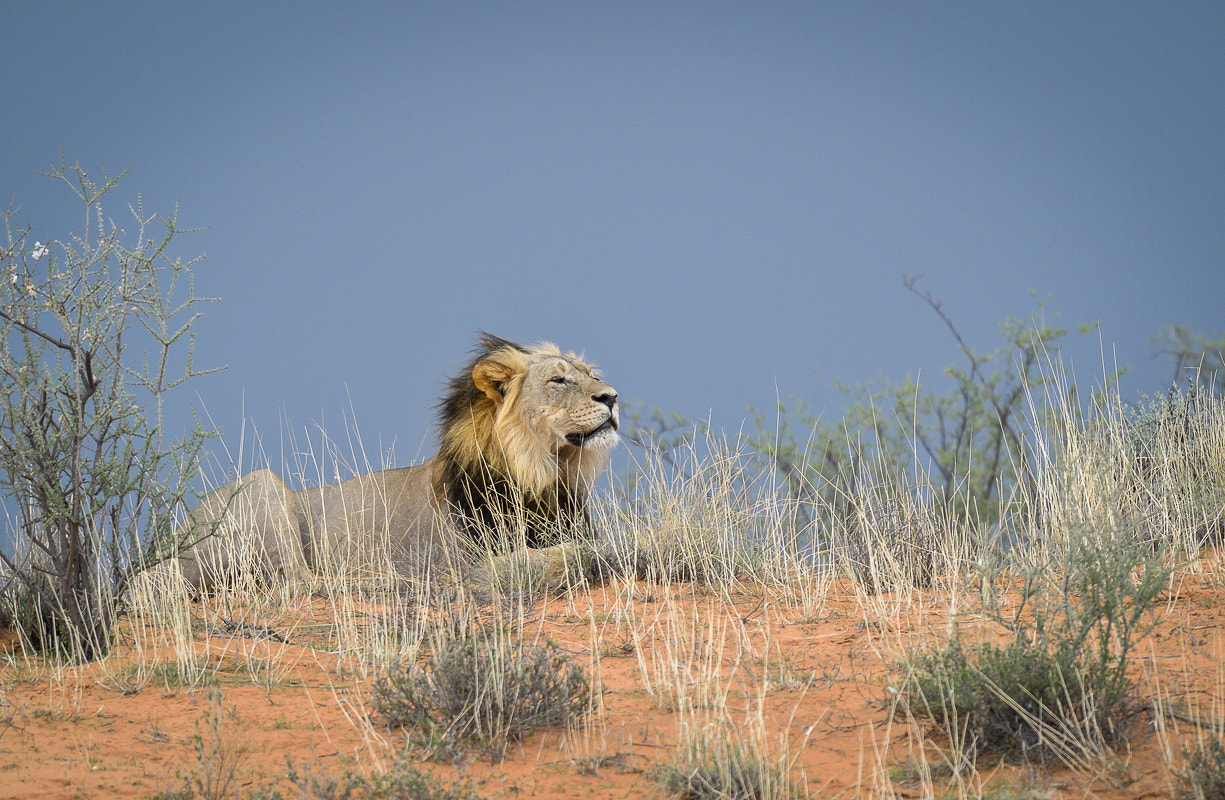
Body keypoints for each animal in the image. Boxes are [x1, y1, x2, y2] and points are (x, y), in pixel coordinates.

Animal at [164, 333, 617, 592]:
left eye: (592, 375)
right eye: (558, 380)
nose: (612, 397)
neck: (544, 475)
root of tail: (162, 552)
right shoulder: (470, 562)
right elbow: (565, 553)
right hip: (263, 484)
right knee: (297, 583)